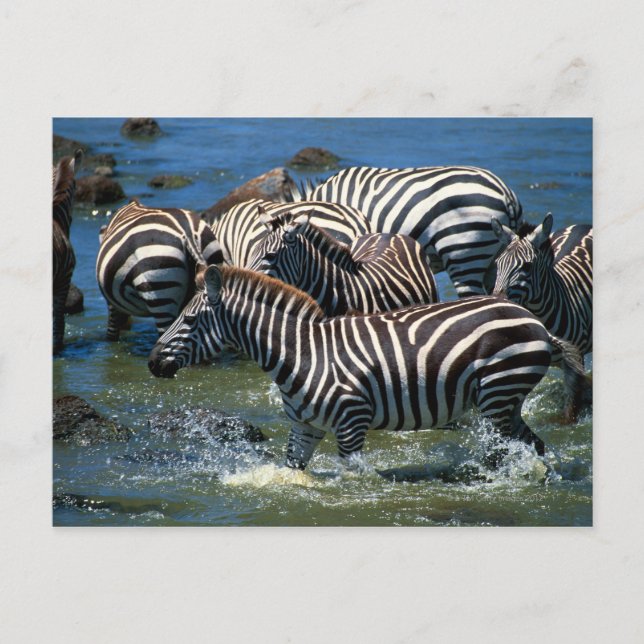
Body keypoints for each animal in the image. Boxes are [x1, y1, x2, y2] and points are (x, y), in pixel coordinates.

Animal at [148, 265, 586, 471]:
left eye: (189, 320)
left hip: (498, 392)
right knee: (534, 446)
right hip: (505, 402)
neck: (303, 353)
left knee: (505, 450)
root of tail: (536, 322)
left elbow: (353, 476)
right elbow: (293, 470)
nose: (152, 363)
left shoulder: (351, 422)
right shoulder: (304, 427)